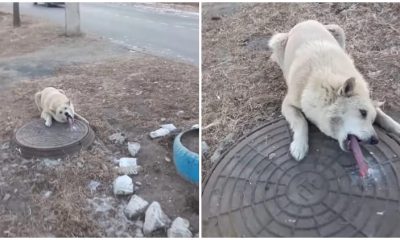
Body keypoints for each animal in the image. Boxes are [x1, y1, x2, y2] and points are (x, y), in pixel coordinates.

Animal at [268, 19, 400, 161]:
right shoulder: (287, 104)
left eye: (372, 119)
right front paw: (299, 146)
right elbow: (301, 122)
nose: (375, 140)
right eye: (363, 112)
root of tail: (306, 21)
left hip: (338, 30)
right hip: (277, 42)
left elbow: (385, 117)